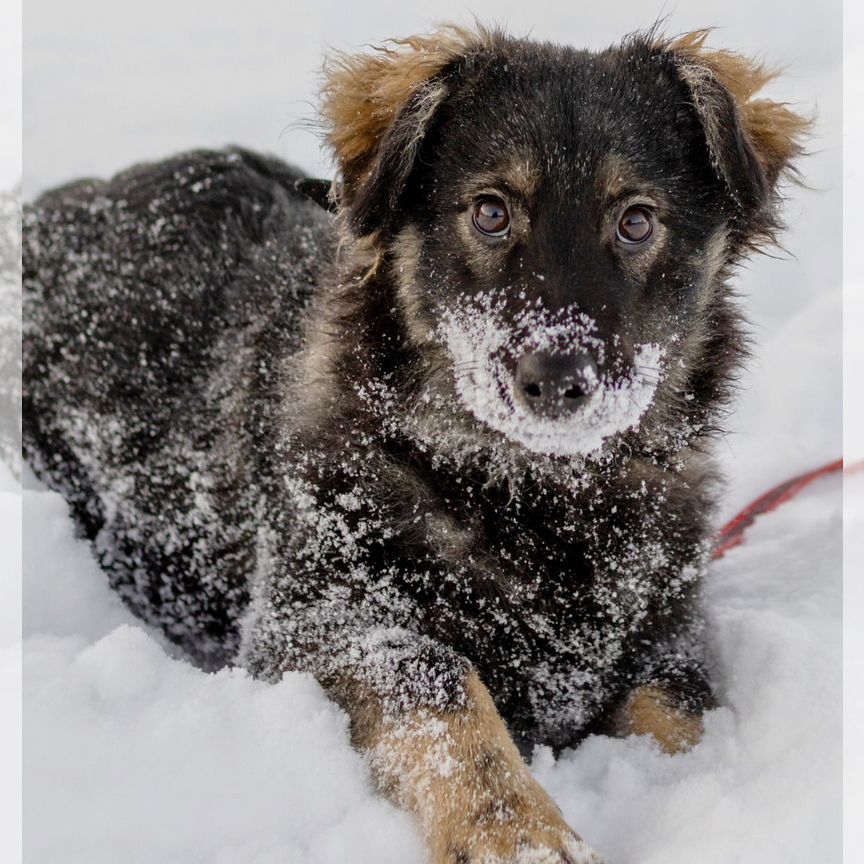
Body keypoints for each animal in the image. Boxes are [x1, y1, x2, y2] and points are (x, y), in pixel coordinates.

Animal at [23, 25, 808, 864]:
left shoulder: (668, 634)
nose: (557, 380)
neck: (532, 497)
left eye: (636, 221)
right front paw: (518, 832)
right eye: (491, 212)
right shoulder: (314, 622)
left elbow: (679, 716)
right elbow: (435, 677)